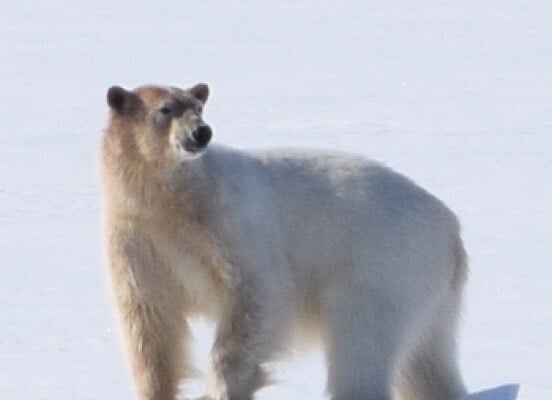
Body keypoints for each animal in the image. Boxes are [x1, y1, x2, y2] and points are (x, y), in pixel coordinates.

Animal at [99, 82, 466, 400]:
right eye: (165, 108)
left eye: (198, 107)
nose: (201, 133)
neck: (177, 200)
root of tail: (452, 230)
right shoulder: (138, 241)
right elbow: (150, 322)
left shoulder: (228, 226)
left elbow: (258, 295)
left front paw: (219, 389)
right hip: (427, 292)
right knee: (426, 360)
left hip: (384, 267)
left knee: (362, 344)